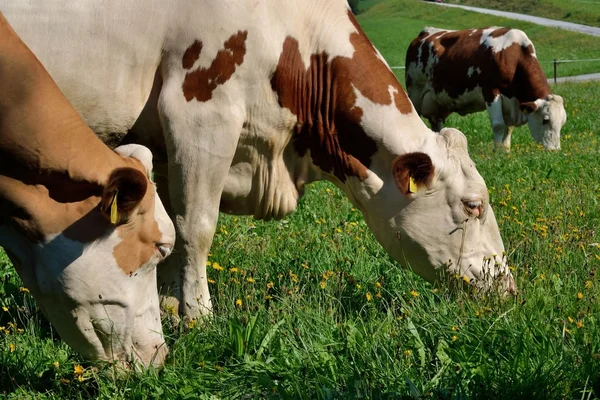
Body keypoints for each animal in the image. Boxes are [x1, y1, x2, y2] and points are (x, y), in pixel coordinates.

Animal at [1, 0, 516, 322]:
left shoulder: (163, 141)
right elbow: (196, 226)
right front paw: (199, 314)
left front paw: (169, 305)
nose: (508, 288)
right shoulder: (199, 115)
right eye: (472, 205)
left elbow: (169, 223)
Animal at [404, 26, 568, 152]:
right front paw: (497, 152)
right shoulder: (491, 92)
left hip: (438, 102)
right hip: (415, 91)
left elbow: (509, 127)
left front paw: (506, 151)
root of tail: (425, 32)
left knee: (436, 123)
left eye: (563, 122)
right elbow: (498, 125)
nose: (555, 150)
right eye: (546, 120)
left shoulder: (511, 103)